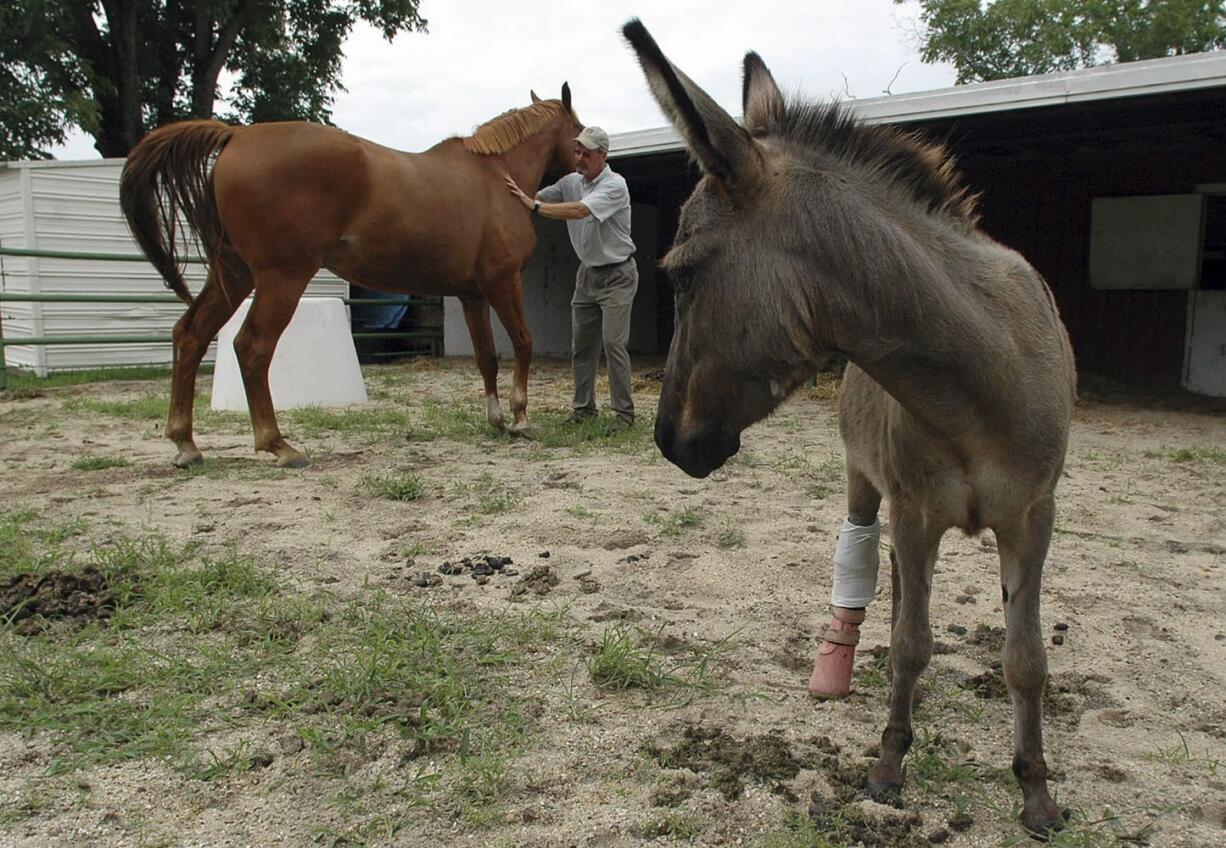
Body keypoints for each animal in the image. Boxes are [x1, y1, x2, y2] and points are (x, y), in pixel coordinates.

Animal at [121, 87, 581, 463]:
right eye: (578, 129)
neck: (495, 177)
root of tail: (235, 136)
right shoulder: (504, 282)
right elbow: (523, 342)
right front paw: (521, 418)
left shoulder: (473, 294)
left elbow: (487, 357)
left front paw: (496, 419)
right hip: (281, 278)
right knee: (252, 347)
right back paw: (278, 445)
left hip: (233, 276)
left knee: (191, 335)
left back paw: (186, 444)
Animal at [627, 19, 1078, 833]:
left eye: (680, 273)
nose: (669, 442)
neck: (977, 381)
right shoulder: (916, 510)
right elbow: (910, 642)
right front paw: (889, 763)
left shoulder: (1033, 518)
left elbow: (1025, 659)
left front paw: (1036, 790)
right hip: (867, 487)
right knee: (882, 583)